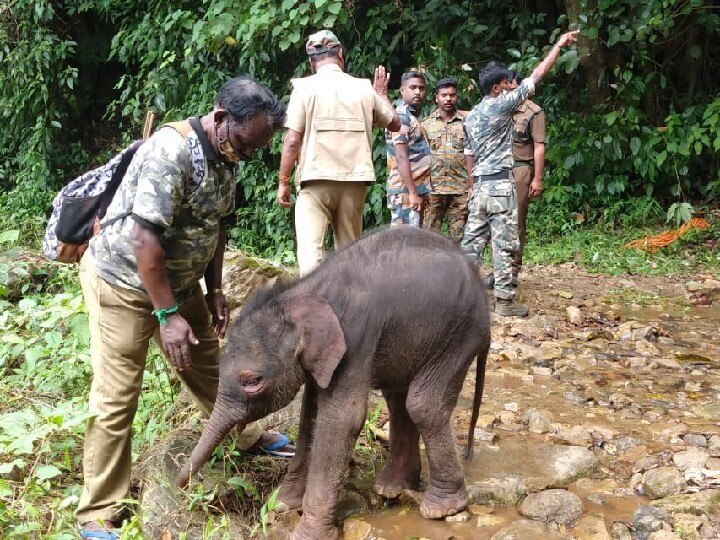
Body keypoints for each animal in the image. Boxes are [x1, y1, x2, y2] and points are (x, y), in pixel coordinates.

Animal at [178, 228, 492, 540]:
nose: (182, 486)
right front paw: (282, 504)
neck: (302, 293)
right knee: (399, 400)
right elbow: (311, 415)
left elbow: (341, 419)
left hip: (460, 334)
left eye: (253, 381)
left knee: (423, 404)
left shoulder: (356, 337)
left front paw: (306, 532)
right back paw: (394, 488)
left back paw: (441, 509)